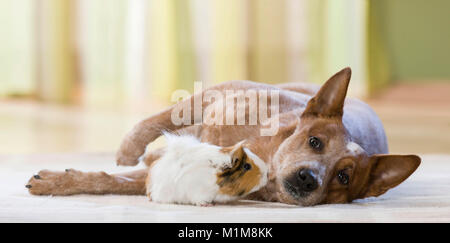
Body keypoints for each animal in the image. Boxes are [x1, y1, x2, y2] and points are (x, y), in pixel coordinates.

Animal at [27, 67, 422, 206]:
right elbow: (156, 121)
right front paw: (128, 148)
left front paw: (57, 182)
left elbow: (111, 181)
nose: (309, 178)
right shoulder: (216, 94)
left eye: (344, 177)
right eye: (315, 142)